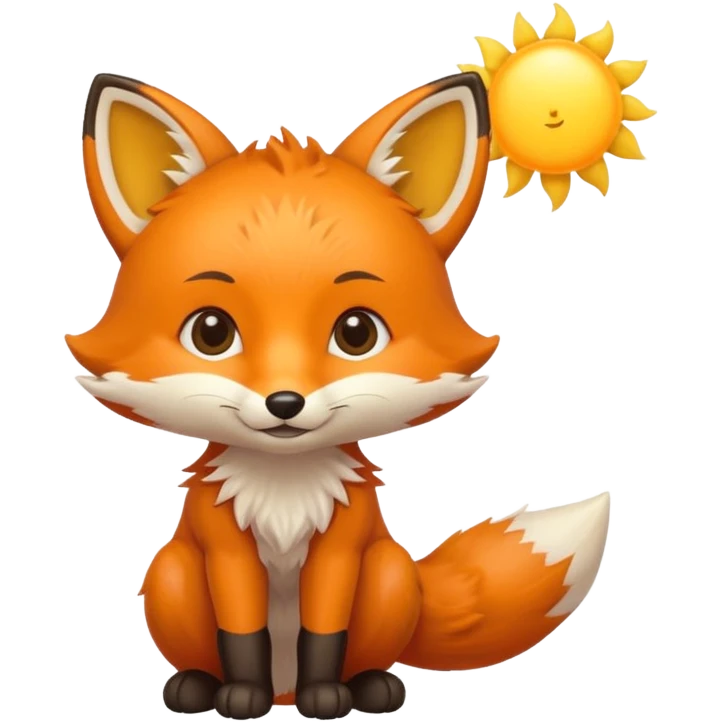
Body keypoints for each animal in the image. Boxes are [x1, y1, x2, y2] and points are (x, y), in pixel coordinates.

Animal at [70, 71, 612, 720]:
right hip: (171, 573)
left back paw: (369, 687)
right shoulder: (225, 548)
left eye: (356, 333)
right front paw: (241, 695)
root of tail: (283, 689)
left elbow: (324, 633)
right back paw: (199, 686)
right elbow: (241, 633)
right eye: (211, 333)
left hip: (390, 574)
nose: (284, 404)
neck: (284, 491)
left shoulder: (343, 547)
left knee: (366, 650)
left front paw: (325, 696)